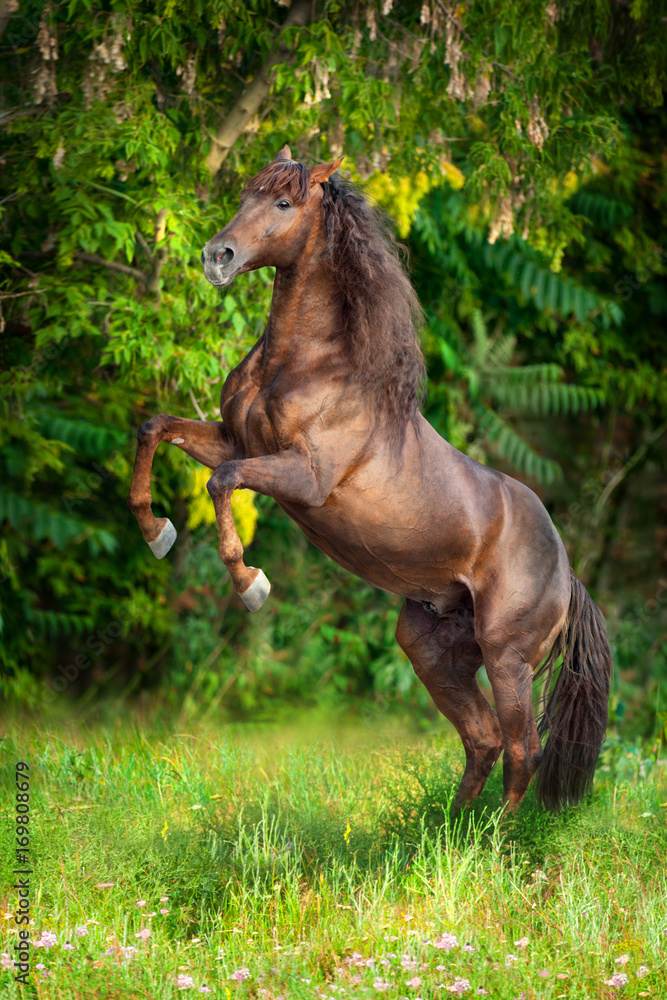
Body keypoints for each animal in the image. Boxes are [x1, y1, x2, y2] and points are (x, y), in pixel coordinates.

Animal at [127, 145, 612, 812]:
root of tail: (567, 573)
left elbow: (222, 482)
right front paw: (157, 533)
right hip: (432, 647)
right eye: (247, 193)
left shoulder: (301, 476)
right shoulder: (233, 439)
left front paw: (251, 584)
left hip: (507, 657)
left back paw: (494, 835)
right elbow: (154, 430)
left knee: (522, 751)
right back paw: (448, 830)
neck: (306, 365)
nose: (216, 257)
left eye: (284, 202)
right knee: (483, 739)